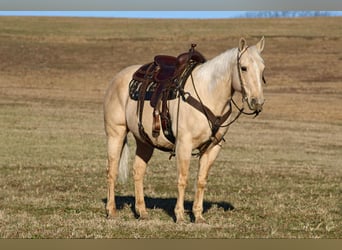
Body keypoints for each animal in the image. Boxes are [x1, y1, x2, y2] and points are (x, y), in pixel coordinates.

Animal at [104, 37, 268, 223]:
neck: (208, 94)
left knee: (138, 171)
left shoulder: (213, 147)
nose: (257, 102)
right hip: (115, 134)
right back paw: (111, 211)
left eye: (263, 69)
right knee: (112, 171)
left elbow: (201, 180)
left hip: (144, 141)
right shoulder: (184, 144)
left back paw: (142, 212)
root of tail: (117, 78)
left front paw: (198, 215)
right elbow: (183, 179)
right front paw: (180, 215)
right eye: (244, 68)